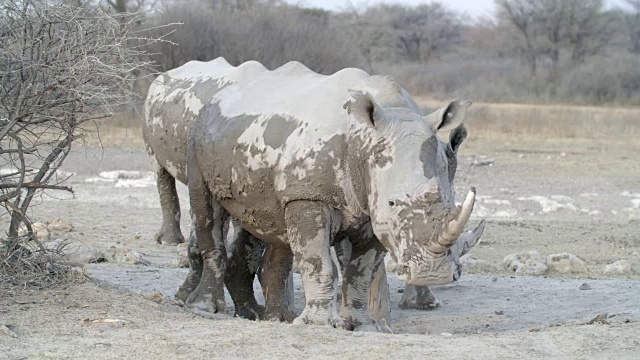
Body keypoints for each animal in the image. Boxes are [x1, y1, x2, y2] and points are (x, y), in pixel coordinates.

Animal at [145, 58, 482, 330]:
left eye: (447, 202)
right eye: (393, 202)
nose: (434, 274)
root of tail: (220, 95)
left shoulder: (372, 212)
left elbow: (360, 271)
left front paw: (363, 326)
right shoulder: (309, 196)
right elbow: (319, 261)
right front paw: (318, 325)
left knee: (269, 225)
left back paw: (268, 317)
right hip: (196, 139)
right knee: (207, 211)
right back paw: (207, 309)